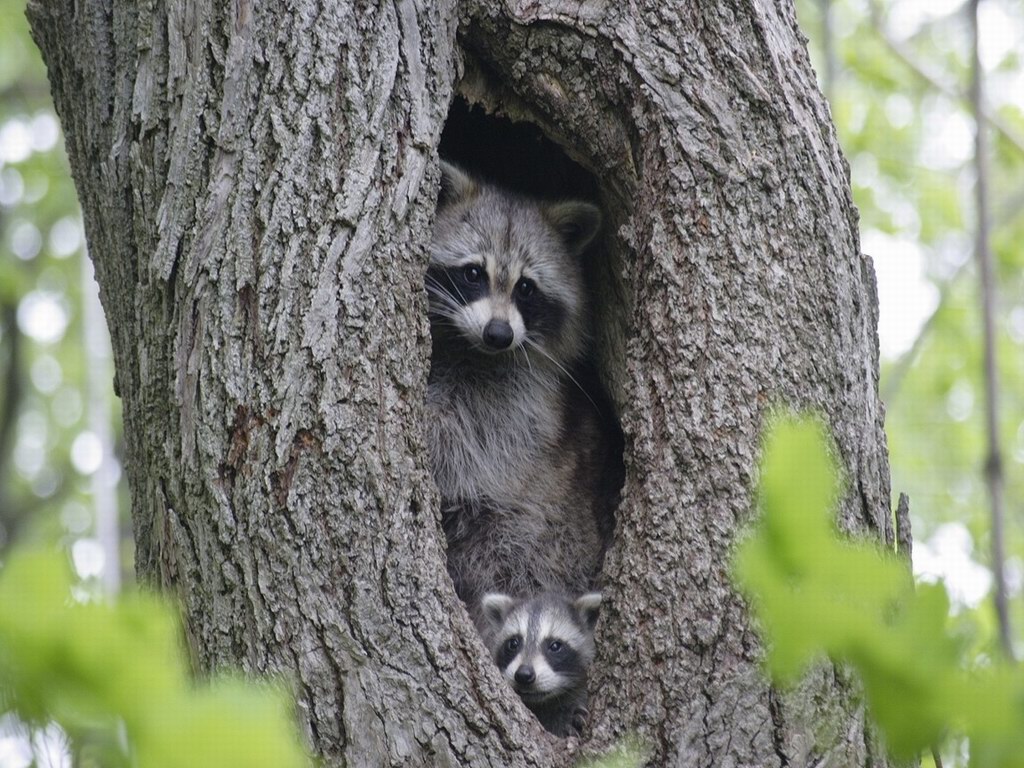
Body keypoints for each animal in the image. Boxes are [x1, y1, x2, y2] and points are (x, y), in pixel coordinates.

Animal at [425, 160, 623, 625]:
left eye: (526, 287)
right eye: (473, 273)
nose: (498, 334)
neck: (472, 350)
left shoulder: (523, 407)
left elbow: (468, 441)